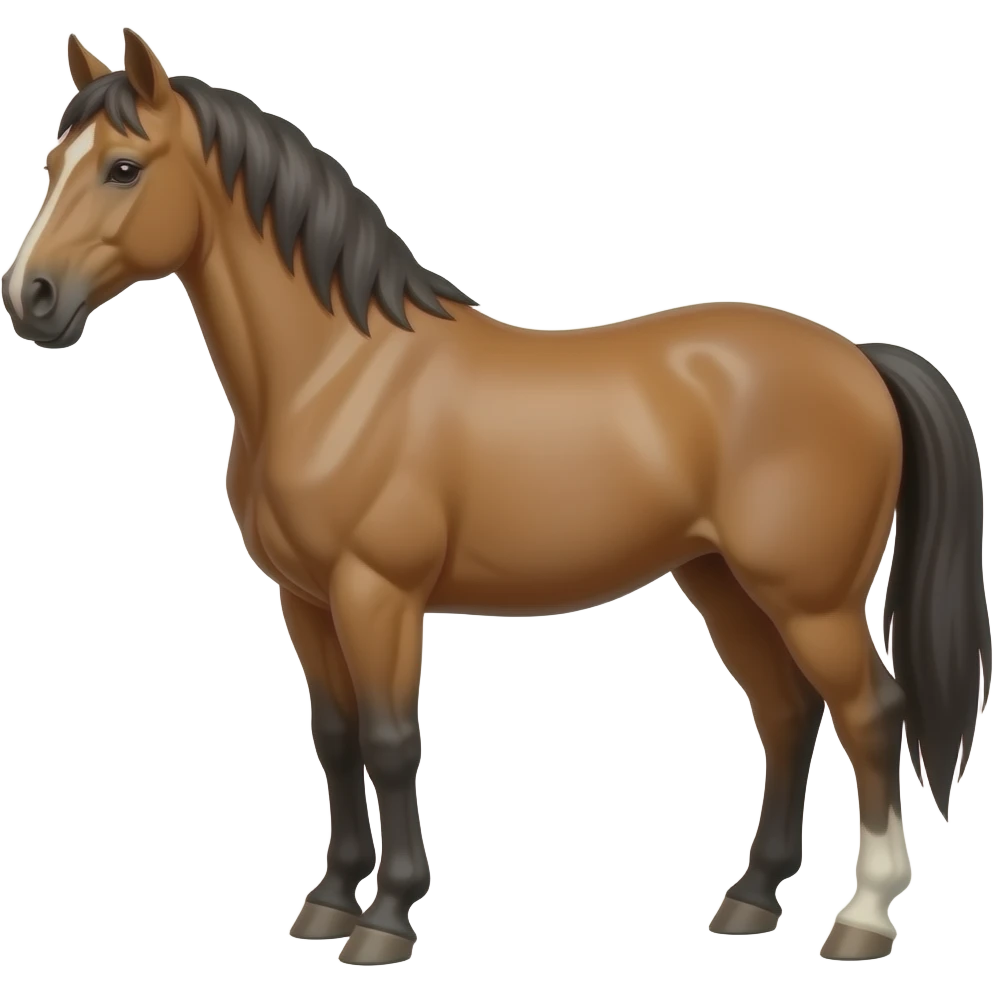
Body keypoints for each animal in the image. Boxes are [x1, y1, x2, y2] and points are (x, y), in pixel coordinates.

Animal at [2, 28, 988, 967]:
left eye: (123, 167)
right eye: (53, 163)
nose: (31, 298)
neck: (335, 374)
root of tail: (858, 357)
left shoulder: (377, 593)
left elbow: (392, 741)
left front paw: (387, 919)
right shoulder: (305, 598)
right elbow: (336, 736)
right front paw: (329, 901)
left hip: (809, 597)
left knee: (872, 713)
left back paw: (862, 917)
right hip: (722, 582)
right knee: (786, 713)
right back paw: (750, 898)